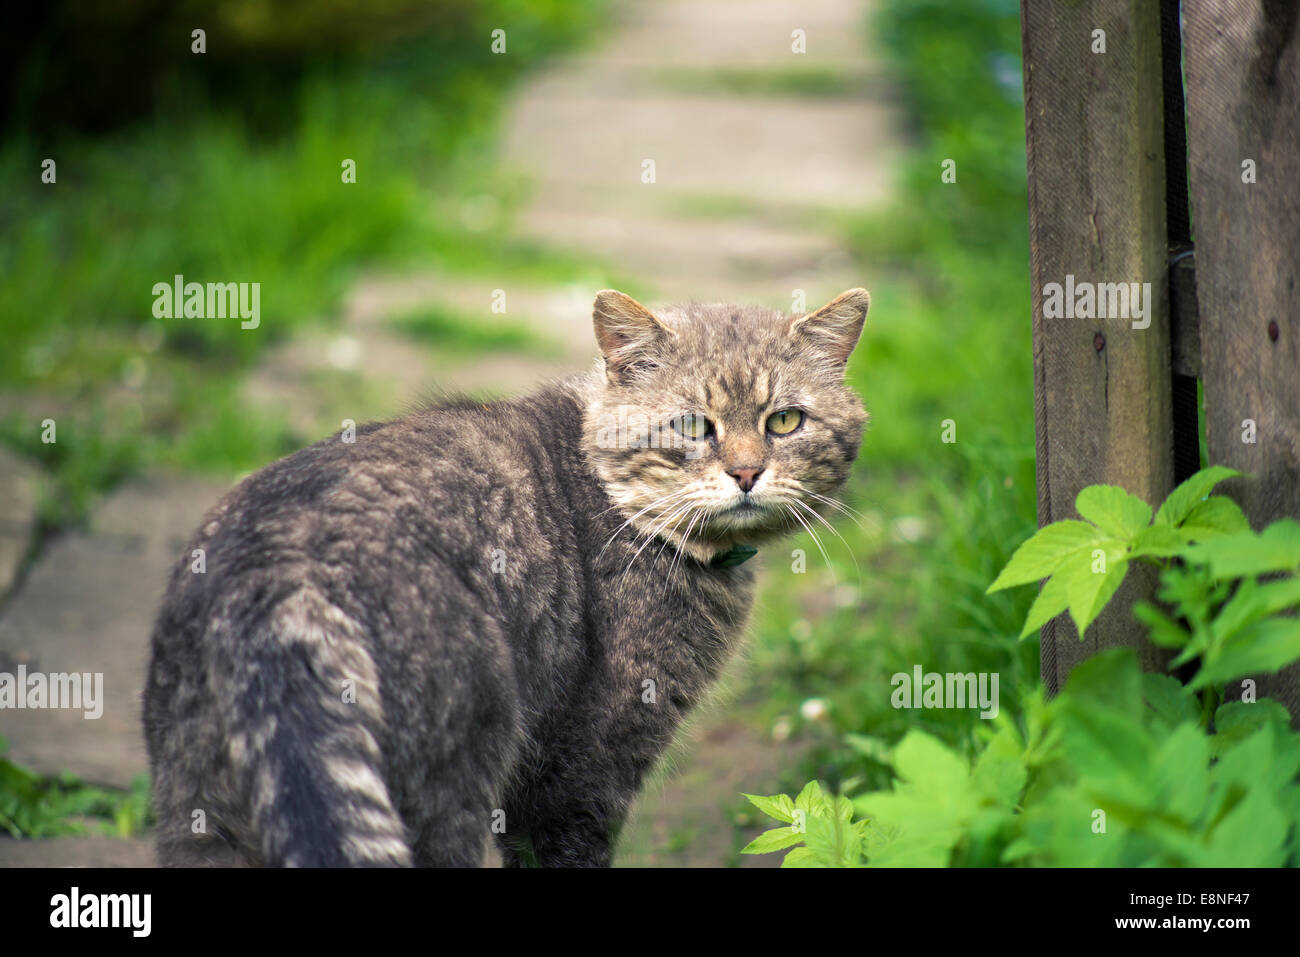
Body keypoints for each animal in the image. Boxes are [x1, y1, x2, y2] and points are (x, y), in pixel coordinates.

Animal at [142, 286, 868, 868]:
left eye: (784, 420)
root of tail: (278, 572)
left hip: (201, 808)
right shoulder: (579, 771)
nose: (746, 472)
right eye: (692, 424)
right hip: (450, 788)